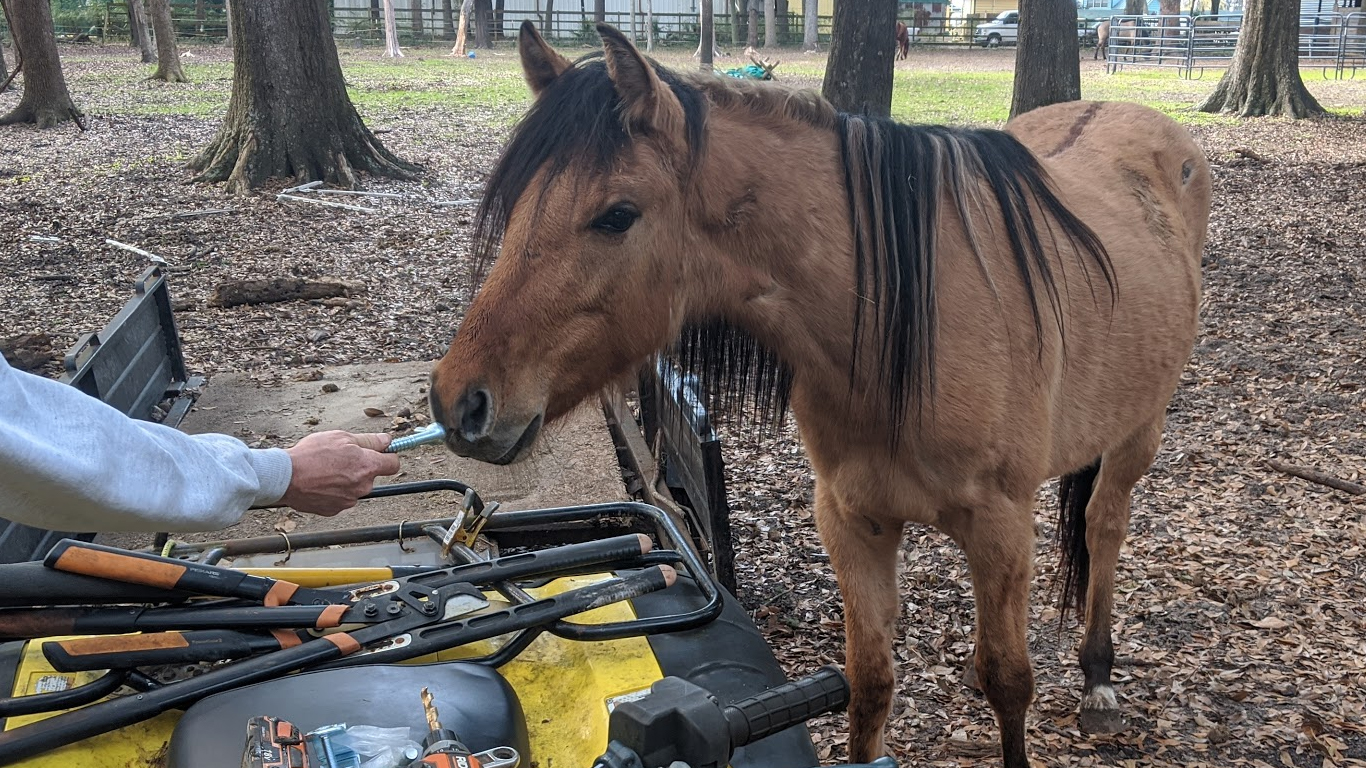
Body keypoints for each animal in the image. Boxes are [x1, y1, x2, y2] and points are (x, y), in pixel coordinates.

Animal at [431, 19, 1213, 765]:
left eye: (616, 215)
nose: (459, 402)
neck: (904, 328)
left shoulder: (997, 521)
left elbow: (1010, 683)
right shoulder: (852, 520)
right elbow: (868, 682)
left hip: (1138, 432)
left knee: (1104, 525)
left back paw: (1099, 677)